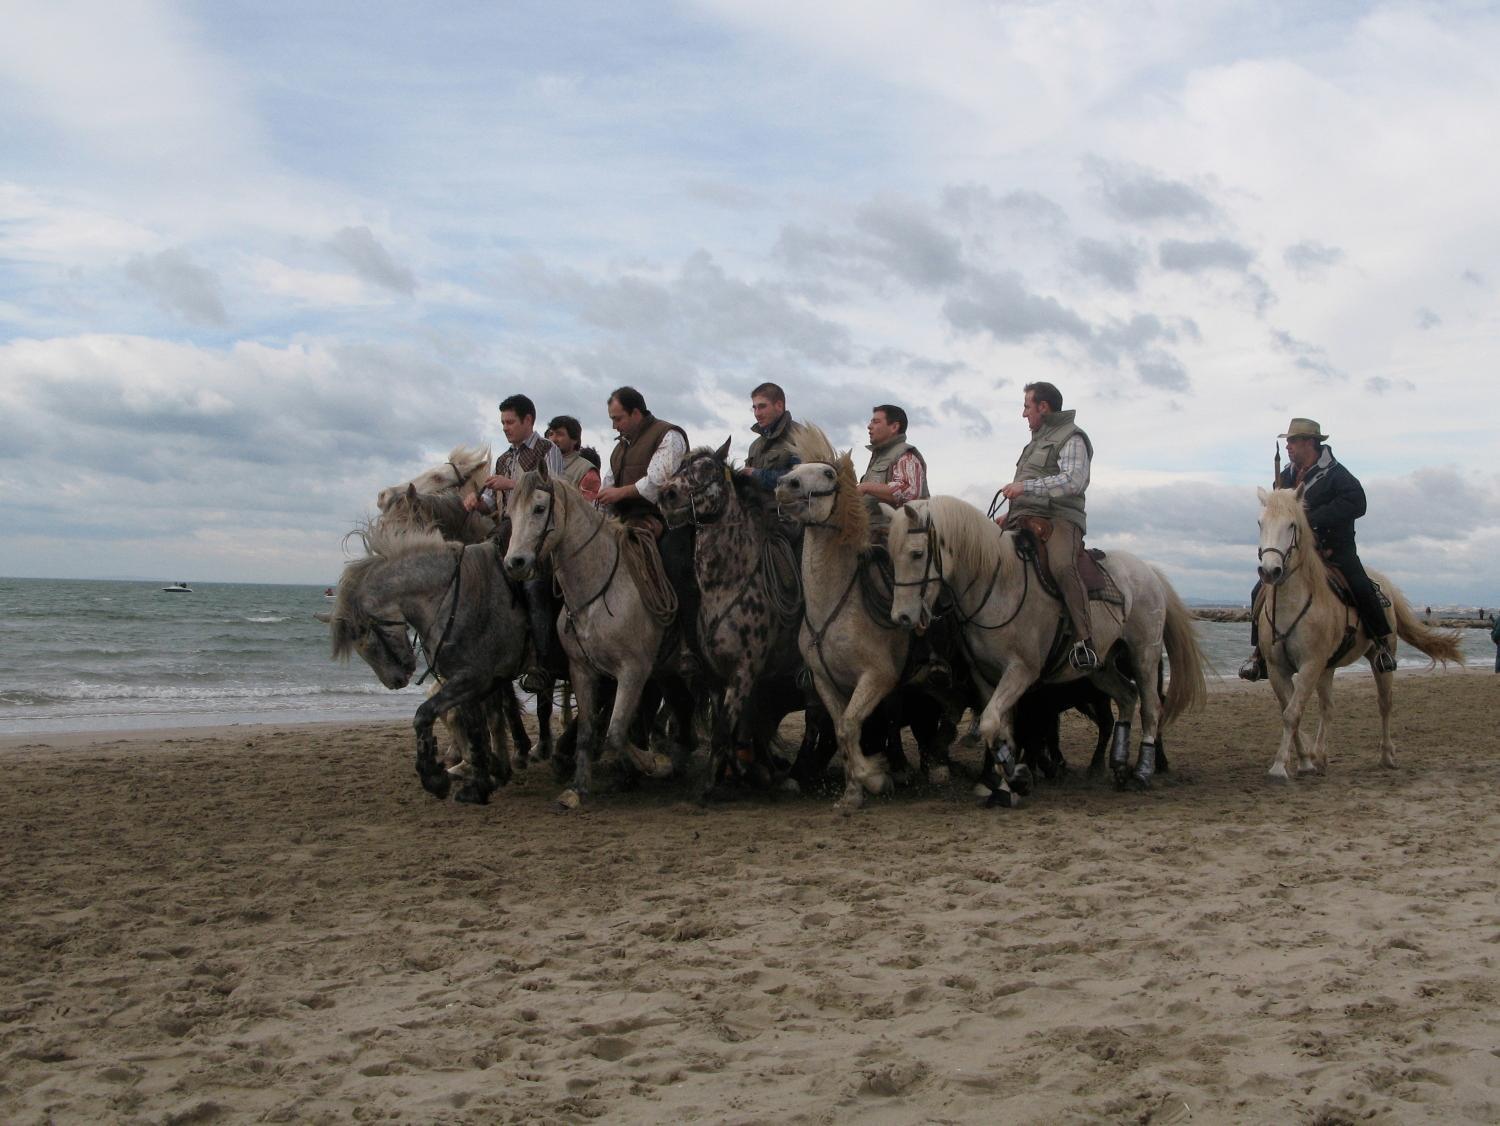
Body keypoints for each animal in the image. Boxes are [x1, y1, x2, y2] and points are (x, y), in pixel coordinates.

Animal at [882, 500, 1200, 803]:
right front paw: (1006, 784)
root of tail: (1149, 572)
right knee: (1127, 697)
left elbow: (991, 723)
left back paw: (1142, 773)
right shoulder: (985, 676)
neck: (998, 584)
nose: (901, 617)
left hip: (1144, 654)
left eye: (916, 553)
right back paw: (1119, 766)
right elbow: (1000, 729)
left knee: (1150, 708)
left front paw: (1016, 777)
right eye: (891, 555)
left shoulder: (1021, 672)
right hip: (1102, 667)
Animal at [1248, 485, 1458, 785]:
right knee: (1328, 707)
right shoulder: (1279, 669)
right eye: (1260, 523)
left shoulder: (1310, 665)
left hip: (1379, 658)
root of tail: (1383, 582)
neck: (1292, 604)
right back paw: (1320, 757)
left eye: (1292, 525)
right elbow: (1290, 710)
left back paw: (1387, 756)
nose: (1269, 571)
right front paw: (1305, 760)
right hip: (1328, 668)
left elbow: (1292, 714)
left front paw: (1279, 767)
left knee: (1385, 704)